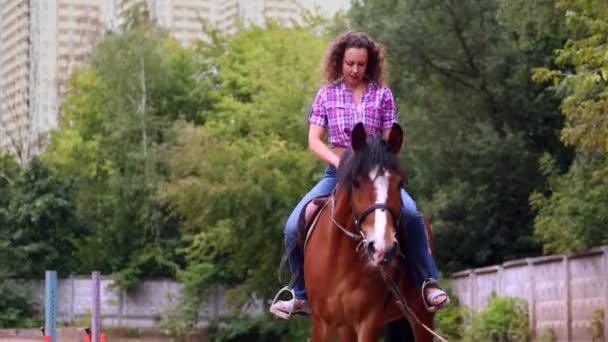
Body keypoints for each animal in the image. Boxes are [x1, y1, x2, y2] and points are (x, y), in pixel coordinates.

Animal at [302, 123, 436, 342]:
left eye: (400, 183)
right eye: (356, 183)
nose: (382, 248)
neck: (340, 261)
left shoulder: (369, 321)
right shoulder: (322, 322)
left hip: (421, 317)